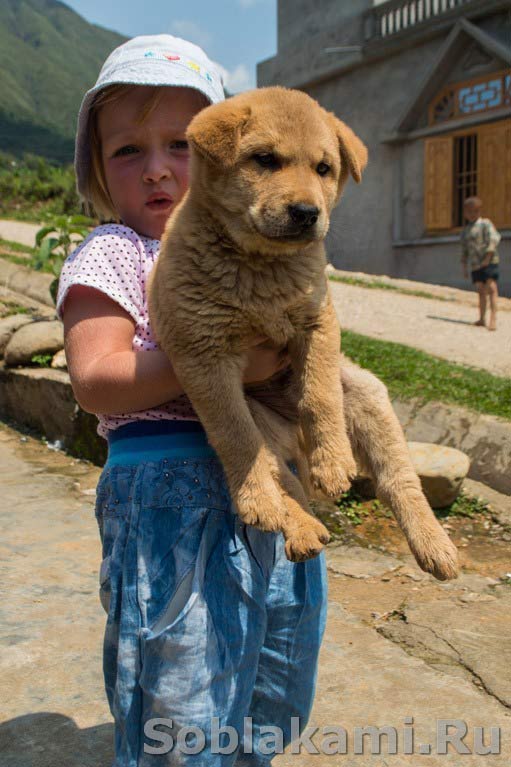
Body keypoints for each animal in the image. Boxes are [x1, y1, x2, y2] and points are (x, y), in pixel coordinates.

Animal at [149, 82, 460, 576]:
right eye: (264, 159)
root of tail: (293, 435)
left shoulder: (318, 325)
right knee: (278, 474)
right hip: (262, 421)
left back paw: (434, 545)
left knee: (399, 479)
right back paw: (295, 524)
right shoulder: (204, 355)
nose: (306, 212)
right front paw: (259, 500)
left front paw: (332, 461)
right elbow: (237, 439)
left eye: (323, 169)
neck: (262, 269)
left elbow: (319, 394)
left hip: (367, 395)